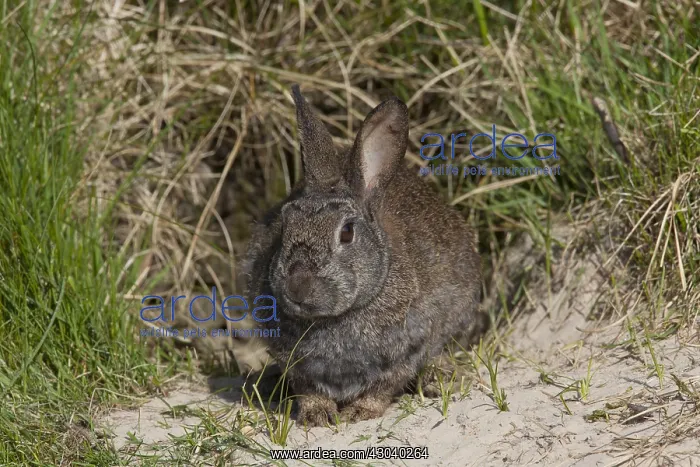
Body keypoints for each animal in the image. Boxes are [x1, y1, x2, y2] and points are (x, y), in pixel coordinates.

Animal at [242, 84, 481, 427]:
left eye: (346, 232)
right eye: (284, 225)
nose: (298, 286)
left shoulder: (407, 350)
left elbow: (385, 385)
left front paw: (360, 412)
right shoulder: (292, 360)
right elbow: (308, 388)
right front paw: (316, 415)